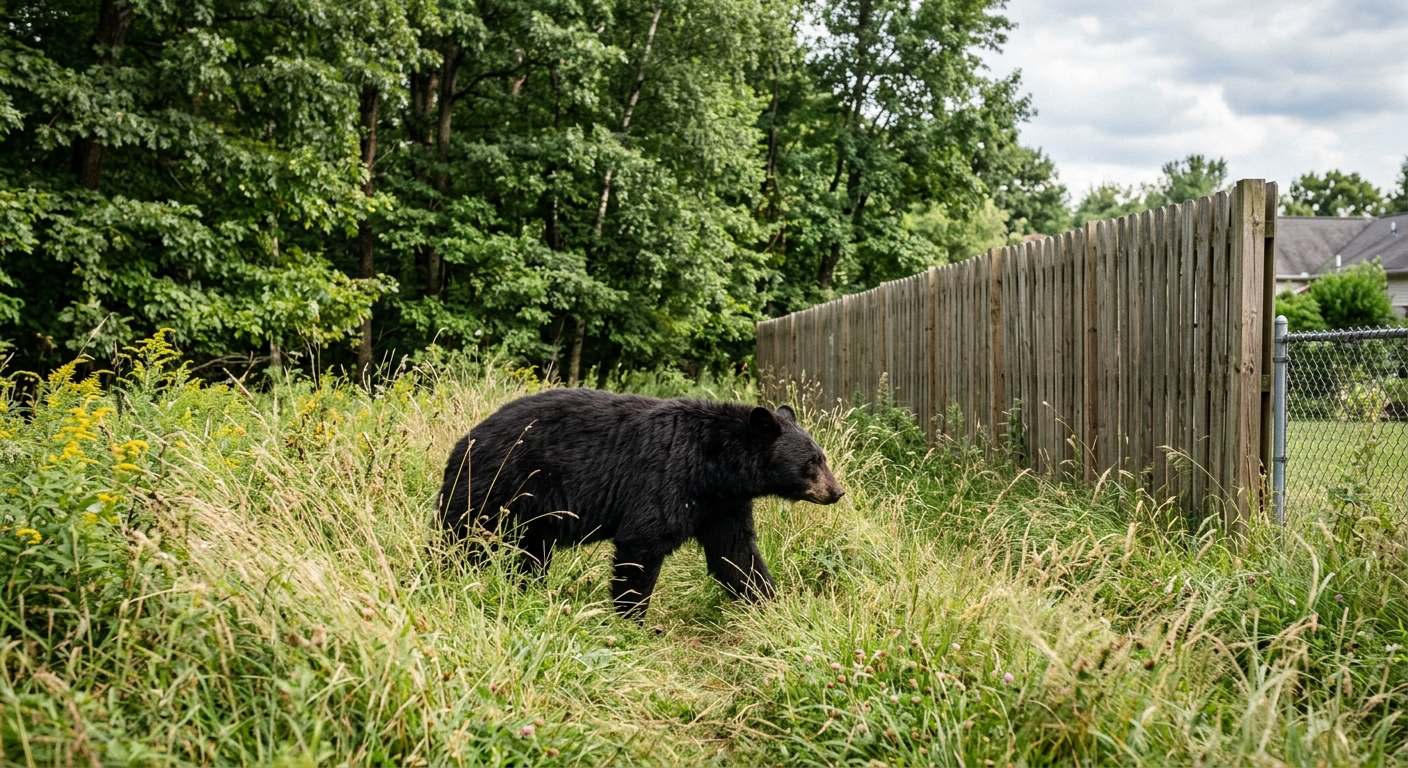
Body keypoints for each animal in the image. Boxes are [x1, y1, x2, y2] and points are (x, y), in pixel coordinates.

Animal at [437, 388, 845, 620]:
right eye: (813, 462)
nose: (837, 492)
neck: (713, 466)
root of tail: (465, 440)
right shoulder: (665, 479)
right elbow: (643, 543)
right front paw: (630, 622)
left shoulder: (722, 504)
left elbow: (735, 554)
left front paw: (771, 605)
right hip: (496, 486)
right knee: (461, 537)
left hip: (532, 514)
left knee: (529, 553)